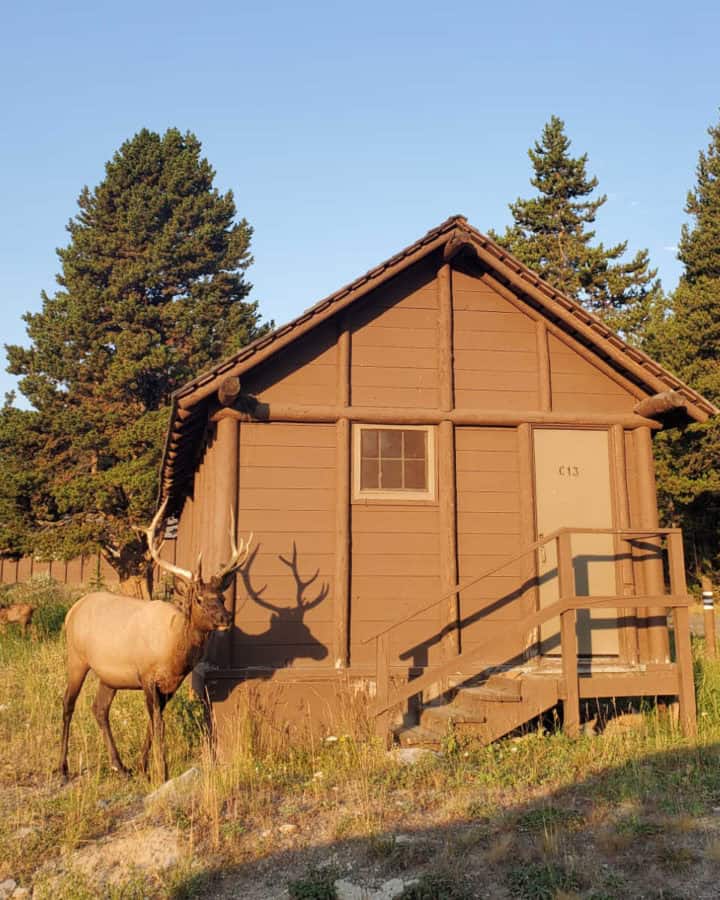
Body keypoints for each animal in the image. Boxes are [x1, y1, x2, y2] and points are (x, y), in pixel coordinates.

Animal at [57, 500, 252, 780]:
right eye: (199, 599)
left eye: (222, 597)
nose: (226, 617)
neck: (174, 651)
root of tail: (72, 610)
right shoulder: (147, 675)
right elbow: (159, 723)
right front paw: (163, 772)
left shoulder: (171, 684)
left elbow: (153, 722)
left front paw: (142, 766)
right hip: (76, 658)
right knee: (67, 703)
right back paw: (62, 767)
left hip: (109, 675)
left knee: (99, 708)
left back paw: (120, 766)